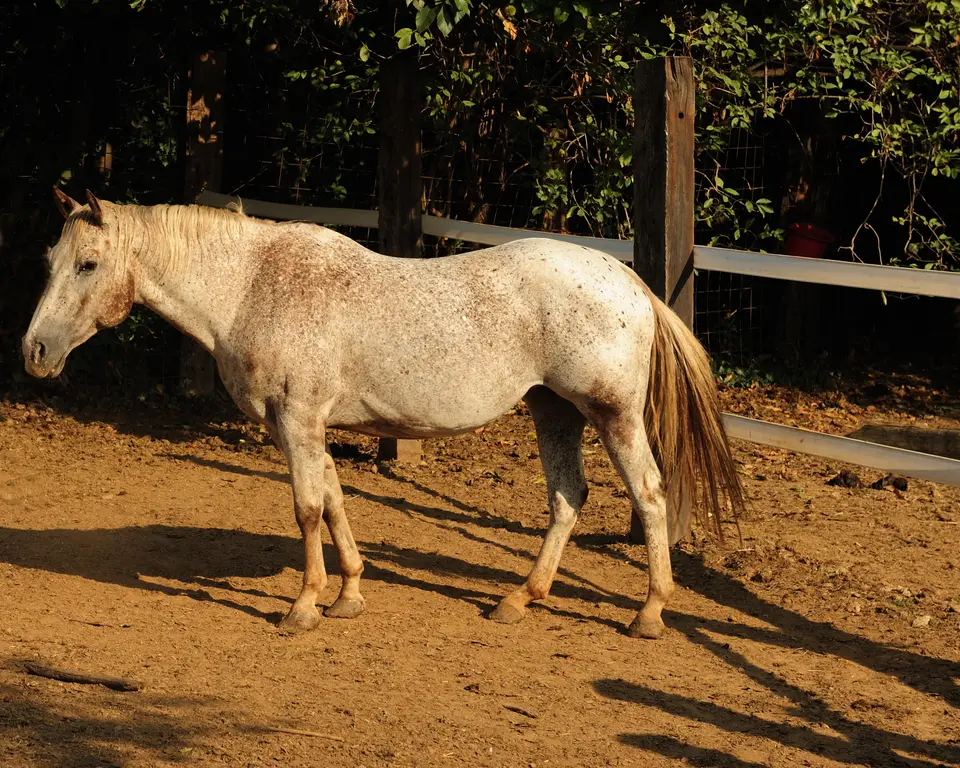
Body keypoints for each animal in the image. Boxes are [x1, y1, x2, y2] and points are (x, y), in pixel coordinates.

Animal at [22, 188, 745, 639]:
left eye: (89, 264)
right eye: (50, 259)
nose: (35, 352)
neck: (253, 285)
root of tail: (628, 282)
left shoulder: (297, 420)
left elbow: (307, 509)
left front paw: (304, 607)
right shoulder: (303, 427)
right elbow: (335, 501)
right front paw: (347, 595)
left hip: (611, 412)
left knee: (648, 495)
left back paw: (649, 613)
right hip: (553, 410)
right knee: (568, 496)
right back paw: (519, 599)